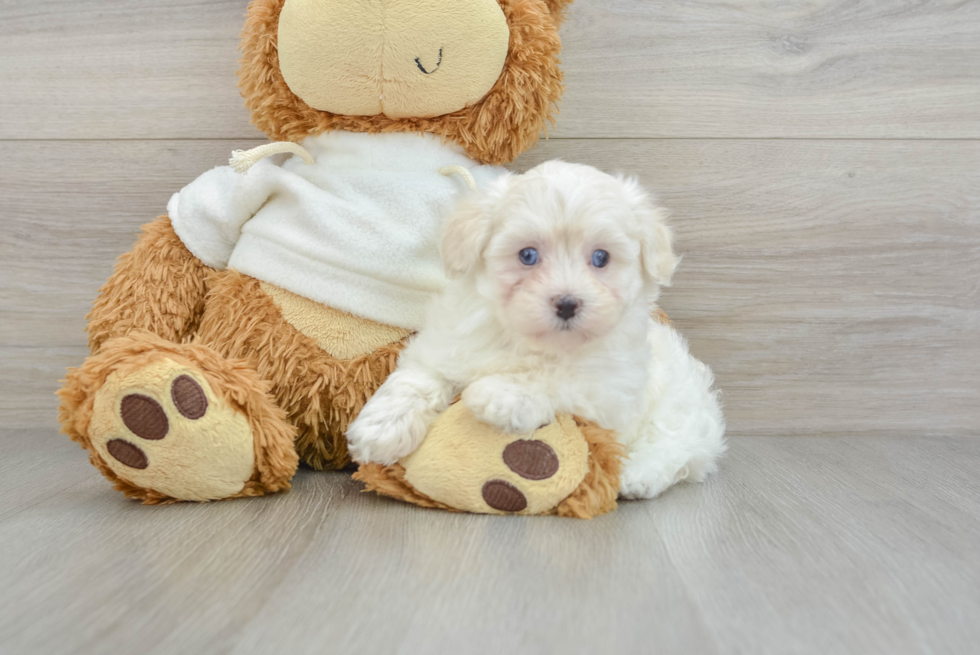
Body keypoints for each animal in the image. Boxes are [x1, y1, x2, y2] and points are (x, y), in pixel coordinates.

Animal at [348, 161, 724, 500]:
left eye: (601, 258)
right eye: (527, 255)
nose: (568, 303)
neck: (530, 341)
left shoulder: (610, 391)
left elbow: (558, 378)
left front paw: (501, 396)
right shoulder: (444, 345)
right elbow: (419, 380)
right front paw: (380, 430)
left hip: (680, 406)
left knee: (675, 447)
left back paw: (636, 476)